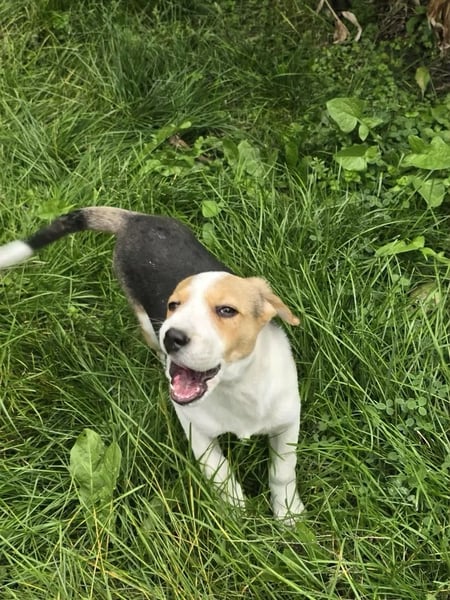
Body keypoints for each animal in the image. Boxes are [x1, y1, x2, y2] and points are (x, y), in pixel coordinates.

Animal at [0, 206, 304, 521]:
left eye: (226, 310)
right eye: (173, 305)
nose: (171, 336)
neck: (236, 387)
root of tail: (135, 219)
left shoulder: (288, 422)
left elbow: (283, 471)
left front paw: (288, 514)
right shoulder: (197, 432)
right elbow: (219, 473)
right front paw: (235, 511)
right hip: (145, 321)